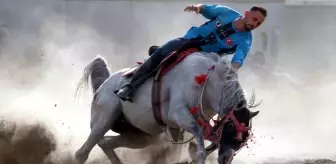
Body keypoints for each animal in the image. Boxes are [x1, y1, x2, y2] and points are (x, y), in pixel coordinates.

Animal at [75, 50, 260, 164]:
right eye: (233, 133)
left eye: (243, 142)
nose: (225, 159)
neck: (208, 82)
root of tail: (102, 87)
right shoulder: (177, 115)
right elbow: (198, 141)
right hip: (104, 120)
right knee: (82, 152)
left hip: (140, 136)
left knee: (106, 143)